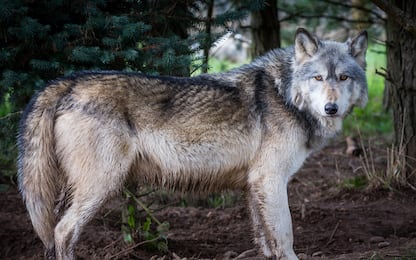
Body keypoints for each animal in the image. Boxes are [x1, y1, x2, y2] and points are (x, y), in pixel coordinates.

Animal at [17, 27, 368, 258]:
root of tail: (69, 81)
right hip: (101, 185)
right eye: (318, 78)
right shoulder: (270, 180)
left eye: (343, 78)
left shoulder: (255, 185)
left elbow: (266, 241)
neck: (286, 95)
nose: (331, 108)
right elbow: (285, 236)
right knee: (62, 232)